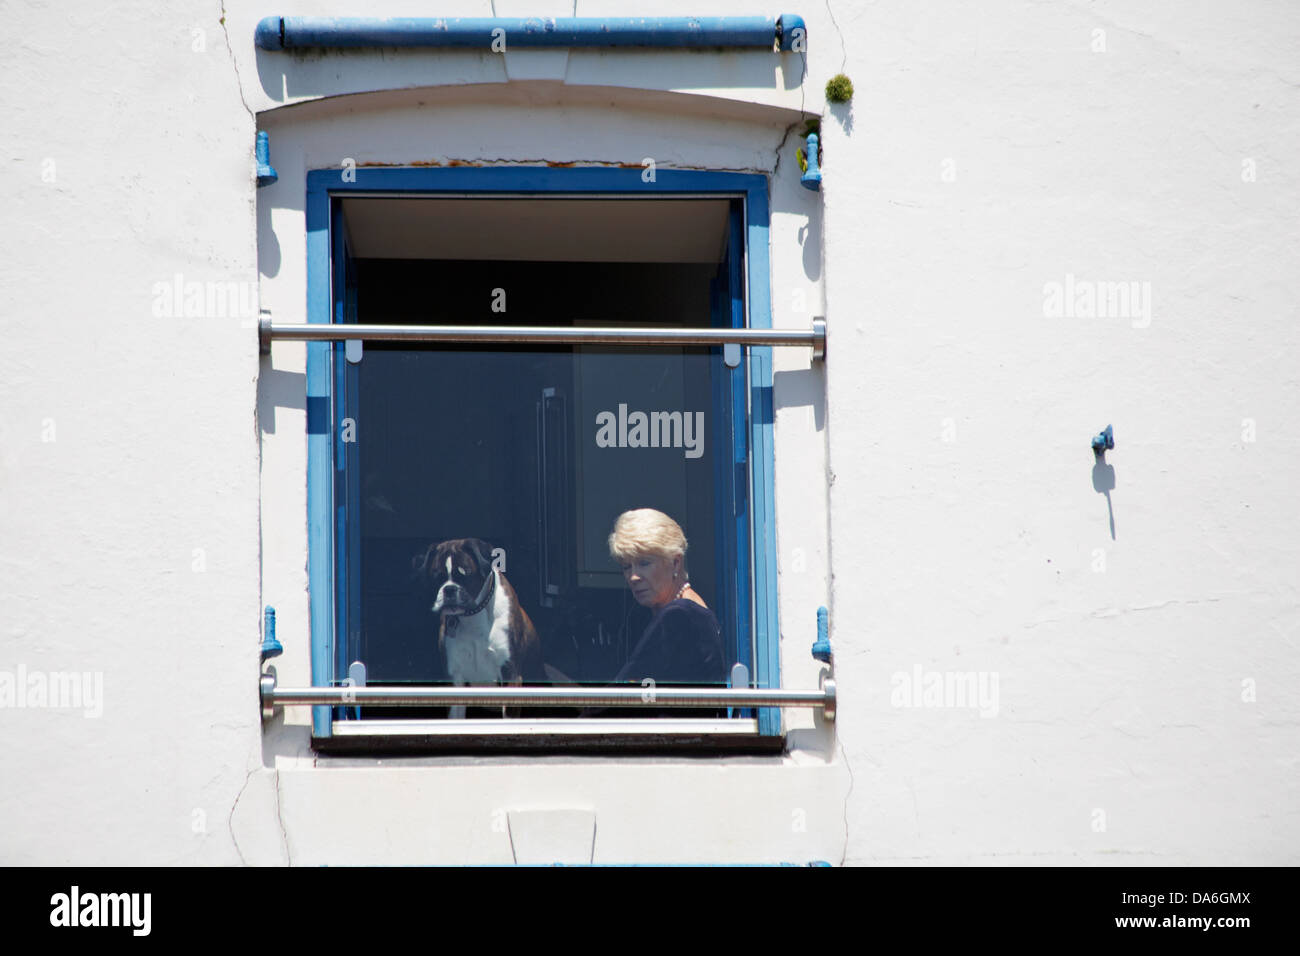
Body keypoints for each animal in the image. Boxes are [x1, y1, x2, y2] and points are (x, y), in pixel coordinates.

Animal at [410, 538, 543, 717]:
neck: (473, 615)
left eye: (465, 574)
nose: (449, 589)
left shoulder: (511, 674)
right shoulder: (455, 677)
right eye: (436, 577)